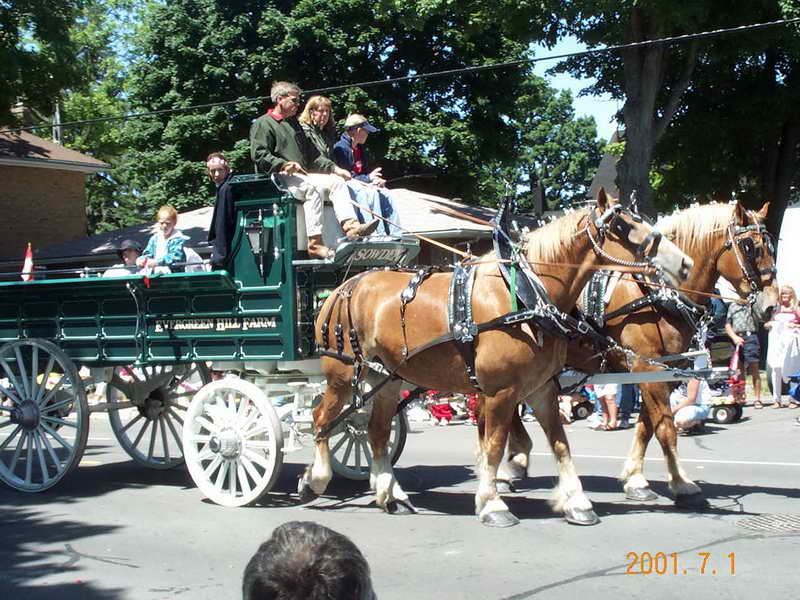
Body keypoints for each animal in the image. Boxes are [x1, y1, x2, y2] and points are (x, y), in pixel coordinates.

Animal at [298, 189, 693, 527]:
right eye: (622, 226)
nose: (683, 263)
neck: (527, 297)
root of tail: (344, 287)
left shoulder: (542, 389)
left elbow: (560, 444)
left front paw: (577, 501)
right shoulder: (501, 392)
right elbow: (493, 446)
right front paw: (492, 503)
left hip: (387, 379)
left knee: (376, 432)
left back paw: (390, 494)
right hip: (342, 375)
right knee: (321, 420)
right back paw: (316, 478)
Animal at [497, 200, 777, 512]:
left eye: (770, 246)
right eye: (751, 247)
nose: (771, 305)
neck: (659, 293)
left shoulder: (662, 371)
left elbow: (647, 426)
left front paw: (636, 480)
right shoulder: (649, 367)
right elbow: (665, 428)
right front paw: (682, 485)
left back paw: (516, 459)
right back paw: (509, 467)